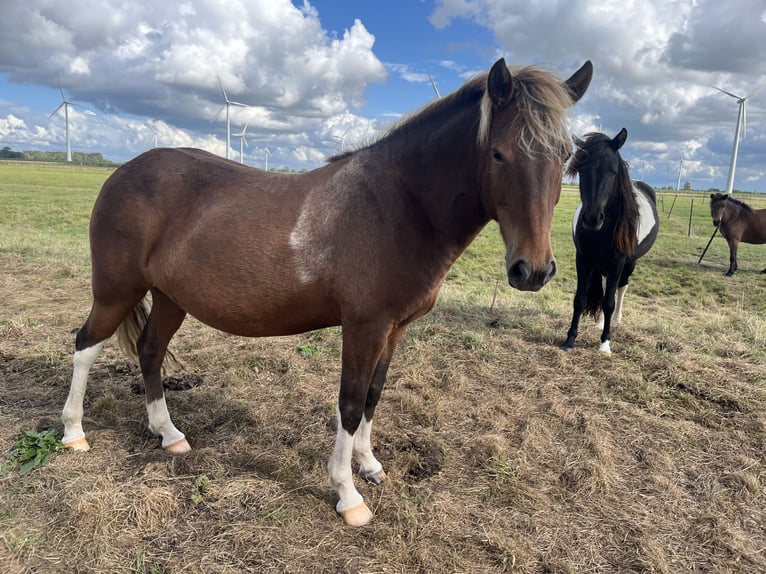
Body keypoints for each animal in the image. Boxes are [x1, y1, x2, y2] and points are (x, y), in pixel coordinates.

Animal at [61, 58, 593, 526]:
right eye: (499, 153)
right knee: (86, 345)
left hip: (172, 298)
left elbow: (374, 395)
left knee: (150, 350)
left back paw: (168, 434)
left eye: (565, 157)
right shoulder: (364, 327)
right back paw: (74, 432)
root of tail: (123, 172)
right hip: (116, 290)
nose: (533, 270)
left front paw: (369, 465)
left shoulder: (394, 330)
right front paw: (348, 495)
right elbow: (351, 403)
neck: (398, 205)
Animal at [561, 128, 658, 354]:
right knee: (607, 289)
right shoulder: (583, 259)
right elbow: (580, 299)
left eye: (613, 171)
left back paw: (616, 320)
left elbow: (609, 303)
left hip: (629, 263)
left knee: (621, 289)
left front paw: (605, 343)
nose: (592, 218)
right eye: (582, 170)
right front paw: (570, 339)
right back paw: (599, 323)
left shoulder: (617, 263)